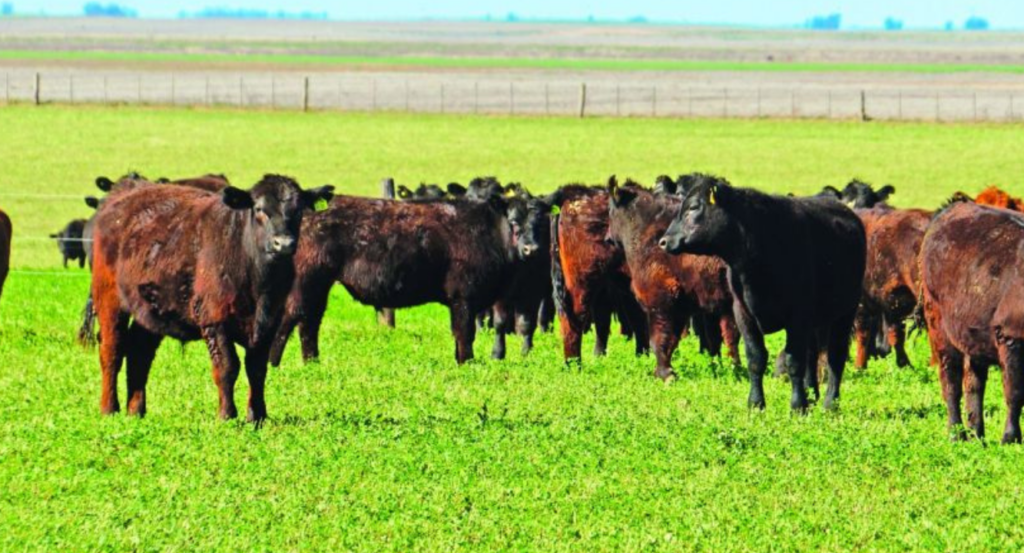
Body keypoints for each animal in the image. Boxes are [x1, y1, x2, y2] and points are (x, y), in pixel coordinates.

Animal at [91, 175, 329, 421]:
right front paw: (227, 415)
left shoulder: (269, 323)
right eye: (260, 209)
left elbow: (256, 368)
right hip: (109, 299)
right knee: (111, 350)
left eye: (299, 210)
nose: (283, 243)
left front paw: (257, 416)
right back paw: (109, 408)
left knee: (139, 353)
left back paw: (135, 410)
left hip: (150, 309)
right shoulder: (214, 320)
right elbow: (227, 367)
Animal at [602, 179, 741, 378]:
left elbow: (659, 338)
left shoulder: (660, 303)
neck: (648, 232)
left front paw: (665, 374)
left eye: (610, 210)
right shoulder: (684, 307)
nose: (607, 238)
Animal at [925, 200, 1024, 442]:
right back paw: (955, 432)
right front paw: (1010, 437)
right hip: (939, 328)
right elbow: (1015, 391)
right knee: (951, 382)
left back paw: (975, 432)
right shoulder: (1011, 337)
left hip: (972, 339)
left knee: (973, 384)